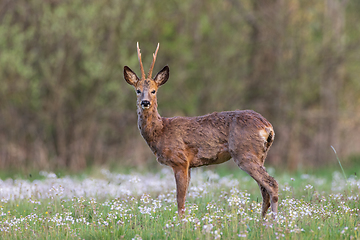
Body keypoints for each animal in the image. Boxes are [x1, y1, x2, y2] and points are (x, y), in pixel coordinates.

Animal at [124, 42, 278, 218]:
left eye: (153, 90)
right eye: (137, 90)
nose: (145, 102)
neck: (161, 131)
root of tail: (267, 126)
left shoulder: (180, 161)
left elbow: (180, 200)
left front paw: (181, 223)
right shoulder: (189, 165)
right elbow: (184, 198)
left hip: (245, 153)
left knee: (272, 184)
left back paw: (275, 221)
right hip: (260, 155)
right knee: (264, 189)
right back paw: (262, 221)